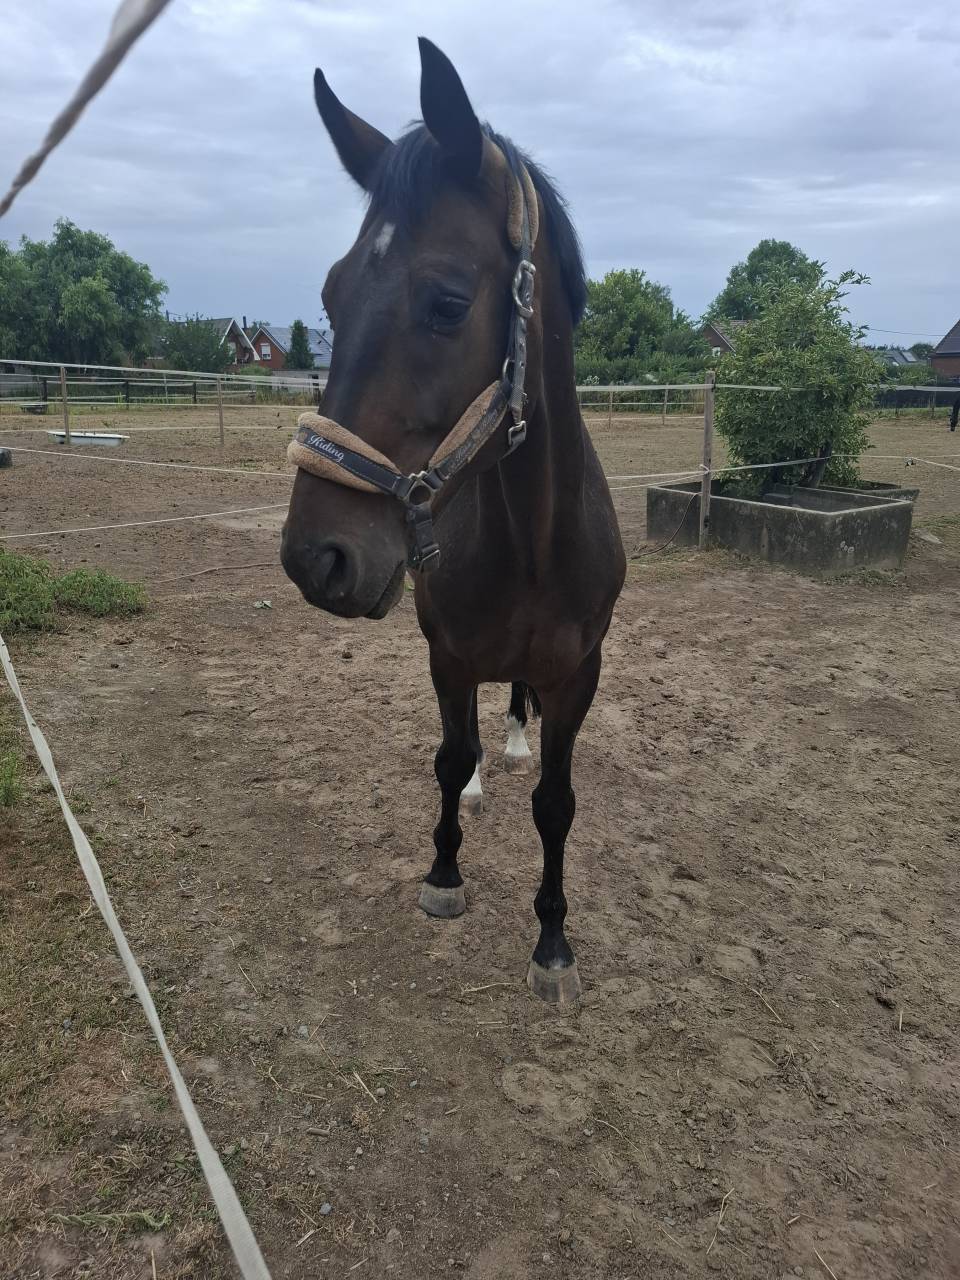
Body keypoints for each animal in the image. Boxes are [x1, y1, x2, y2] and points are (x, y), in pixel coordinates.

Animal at [281, 38, 625, 1003]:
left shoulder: (580, 675)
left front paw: (553, 943)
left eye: (445, 302)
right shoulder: (445, 655)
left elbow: (557, 804)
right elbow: (444, 758)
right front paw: (443, 875)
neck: (534, 541)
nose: (315, 556)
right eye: (331, 297)